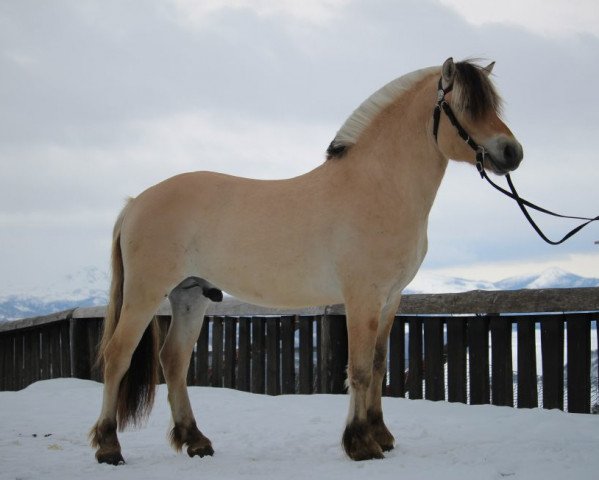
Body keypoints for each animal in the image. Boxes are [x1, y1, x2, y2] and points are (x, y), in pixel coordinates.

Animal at [90, 58, 524, 464]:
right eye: (465, 105)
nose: (512, 152)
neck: (378, 186)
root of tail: (136, 203)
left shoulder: (390, 299)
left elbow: (379, 364)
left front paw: (381, 435)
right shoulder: (363, 297)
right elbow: (359, 369)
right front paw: (360, 443)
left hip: (190, 295)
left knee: (175, 361)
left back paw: (195, 440)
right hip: (146, 293)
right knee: (117, 356)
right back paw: (109, 446)